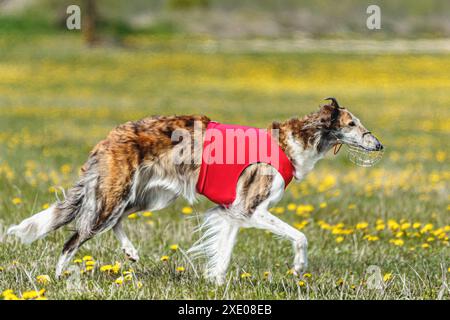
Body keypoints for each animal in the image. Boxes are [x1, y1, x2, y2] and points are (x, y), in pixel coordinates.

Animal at [7, 97, 380, 284]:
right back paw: (59, 277)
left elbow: (223, 251)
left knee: (115, 223)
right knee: (74, 237)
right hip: (114, 196)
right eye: (352, 124)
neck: (290, 143)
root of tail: (110, 137)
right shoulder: (250, 208)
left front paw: (215, 282)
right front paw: (299, 268)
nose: (378, 145)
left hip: (148, 196)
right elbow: (300, 236)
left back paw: (130, 252)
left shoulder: (231, 212)